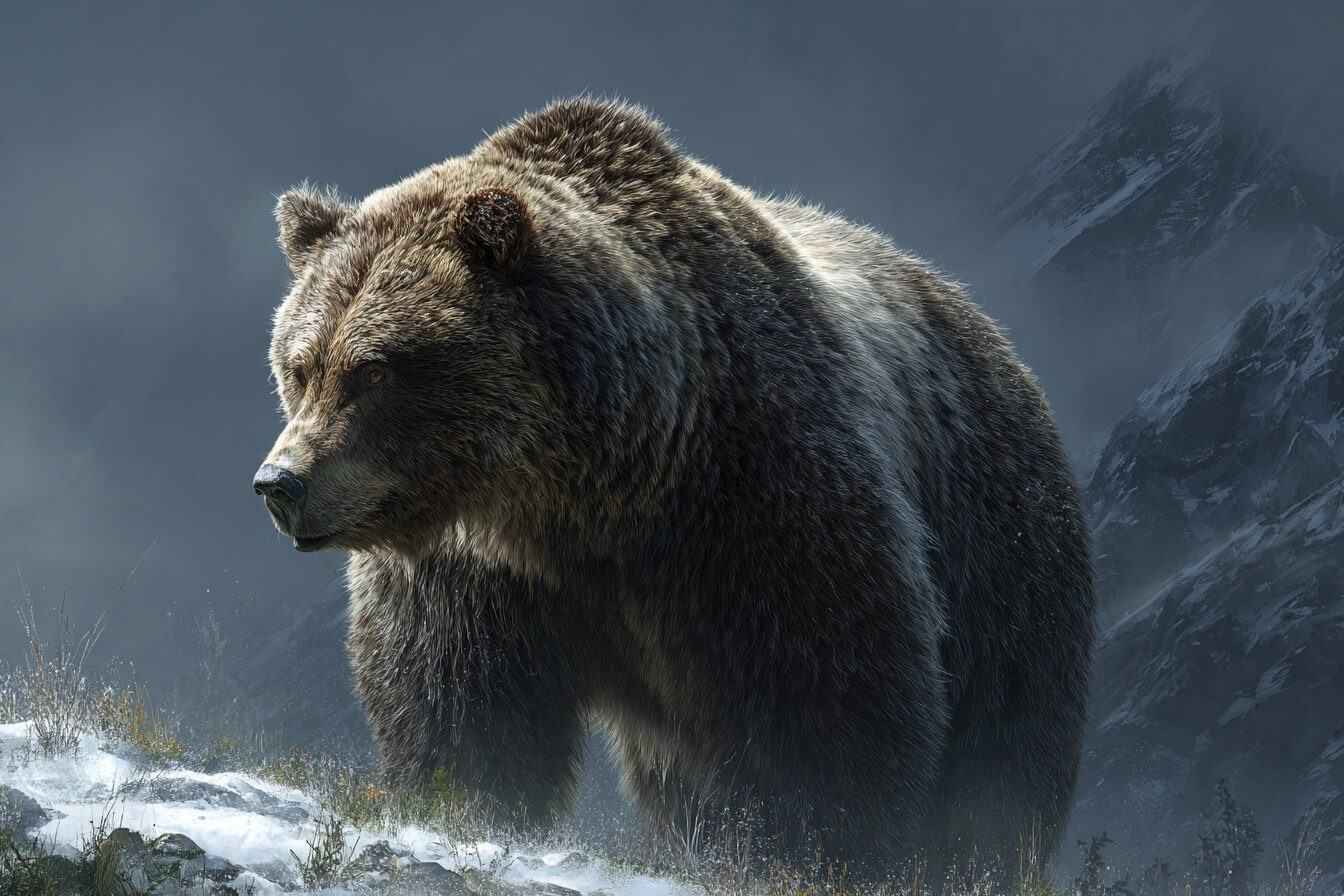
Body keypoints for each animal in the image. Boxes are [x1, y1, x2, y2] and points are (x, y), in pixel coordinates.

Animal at [253, 98, 1095, 883]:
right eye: (300, 364)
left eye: (374, 370)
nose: (280, 482)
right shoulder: (476, 566)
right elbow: (461, 705)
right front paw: (465, 810)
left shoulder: (753, 498)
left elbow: (823, 696)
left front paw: (810, 851)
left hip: (997, 543)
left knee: (1004, 749)